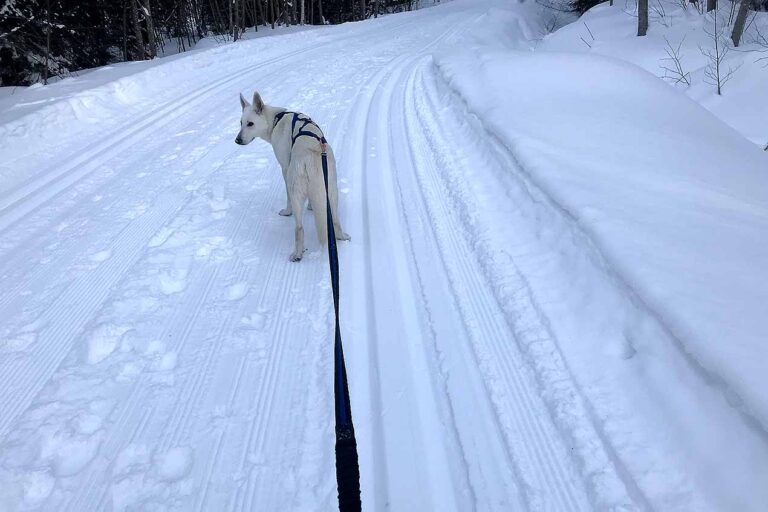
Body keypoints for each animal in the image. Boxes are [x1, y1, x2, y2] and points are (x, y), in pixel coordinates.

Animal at [236, 90, 350, 262]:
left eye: (250, 124)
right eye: (241, 123)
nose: (237, 140)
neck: (276, 119)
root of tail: (311, 156)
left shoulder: (285, 167)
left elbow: (287, 197)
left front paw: (287, 211)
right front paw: (311, 207)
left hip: (296, 189)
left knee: (299, 228)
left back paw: (297, 254)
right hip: (332, 191)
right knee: (335, 220)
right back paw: (341, 237)